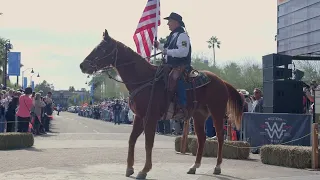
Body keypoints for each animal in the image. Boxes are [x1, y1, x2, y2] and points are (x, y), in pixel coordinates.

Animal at [79, 29, 242, 179]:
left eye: (102, 48)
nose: (82, 65)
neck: (145, 79)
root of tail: (222, 81)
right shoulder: (139, 116)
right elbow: (132, 139)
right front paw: (129, 168)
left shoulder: (150, 117)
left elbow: (148, 142)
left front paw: (144, 170)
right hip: (199, 115)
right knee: (202, 138)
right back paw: (194, 166)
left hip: (217, 113)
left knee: (220, 137)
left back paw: (217, 167)